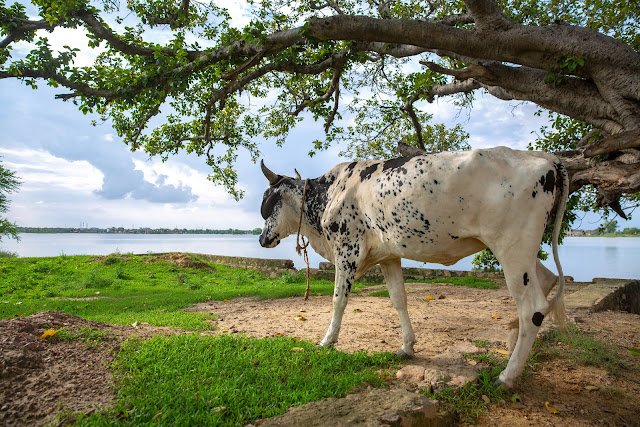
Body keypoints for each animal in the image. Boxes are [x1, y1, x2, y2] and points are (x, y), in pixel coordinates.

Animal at [258, 146, 568, 388]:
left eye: (268, 203)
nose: (261, 239)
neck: (329, 194)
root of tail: (545, 157)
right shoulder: (388, 256)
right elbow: (399, 299)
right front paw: (407, 347)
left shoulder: (347, 250)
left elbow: (339, 300)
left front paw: (327, 341)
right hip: (519, 250)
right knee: (548, 279)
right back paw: (512, 338)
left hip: (512, 247)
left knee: (533, 308)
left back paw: (507, 376)